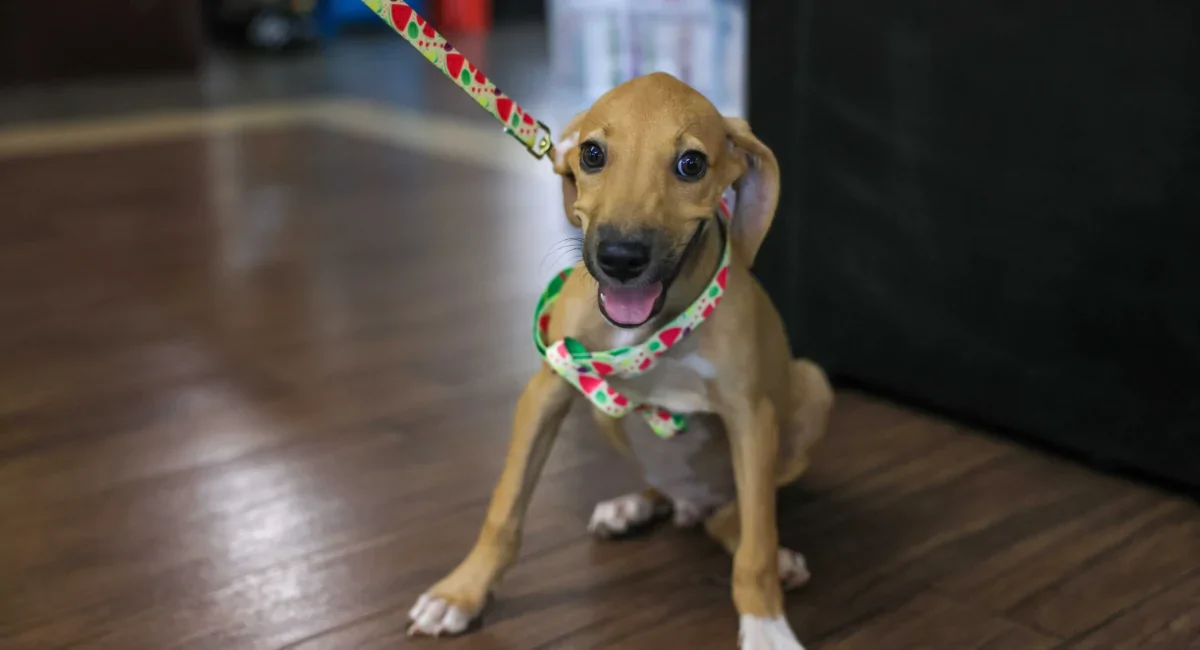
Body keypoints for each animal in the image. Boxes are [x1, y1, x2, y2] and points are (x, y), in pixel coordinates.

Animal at [407, 72, 833, 649]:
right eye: (592, 154)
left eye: (691, 164)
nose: (621, 259)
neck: (653, 330)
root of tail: (692, 502)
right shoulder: (551, 384)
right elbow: (505, 508)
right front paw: (461, 594)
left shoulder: (751, 416)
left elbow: (757, 545)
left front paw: (766, 624)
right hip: (606, 412)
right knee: (676, 494)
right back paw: (633, 505)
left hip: (811, 389)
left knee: (734, 519)